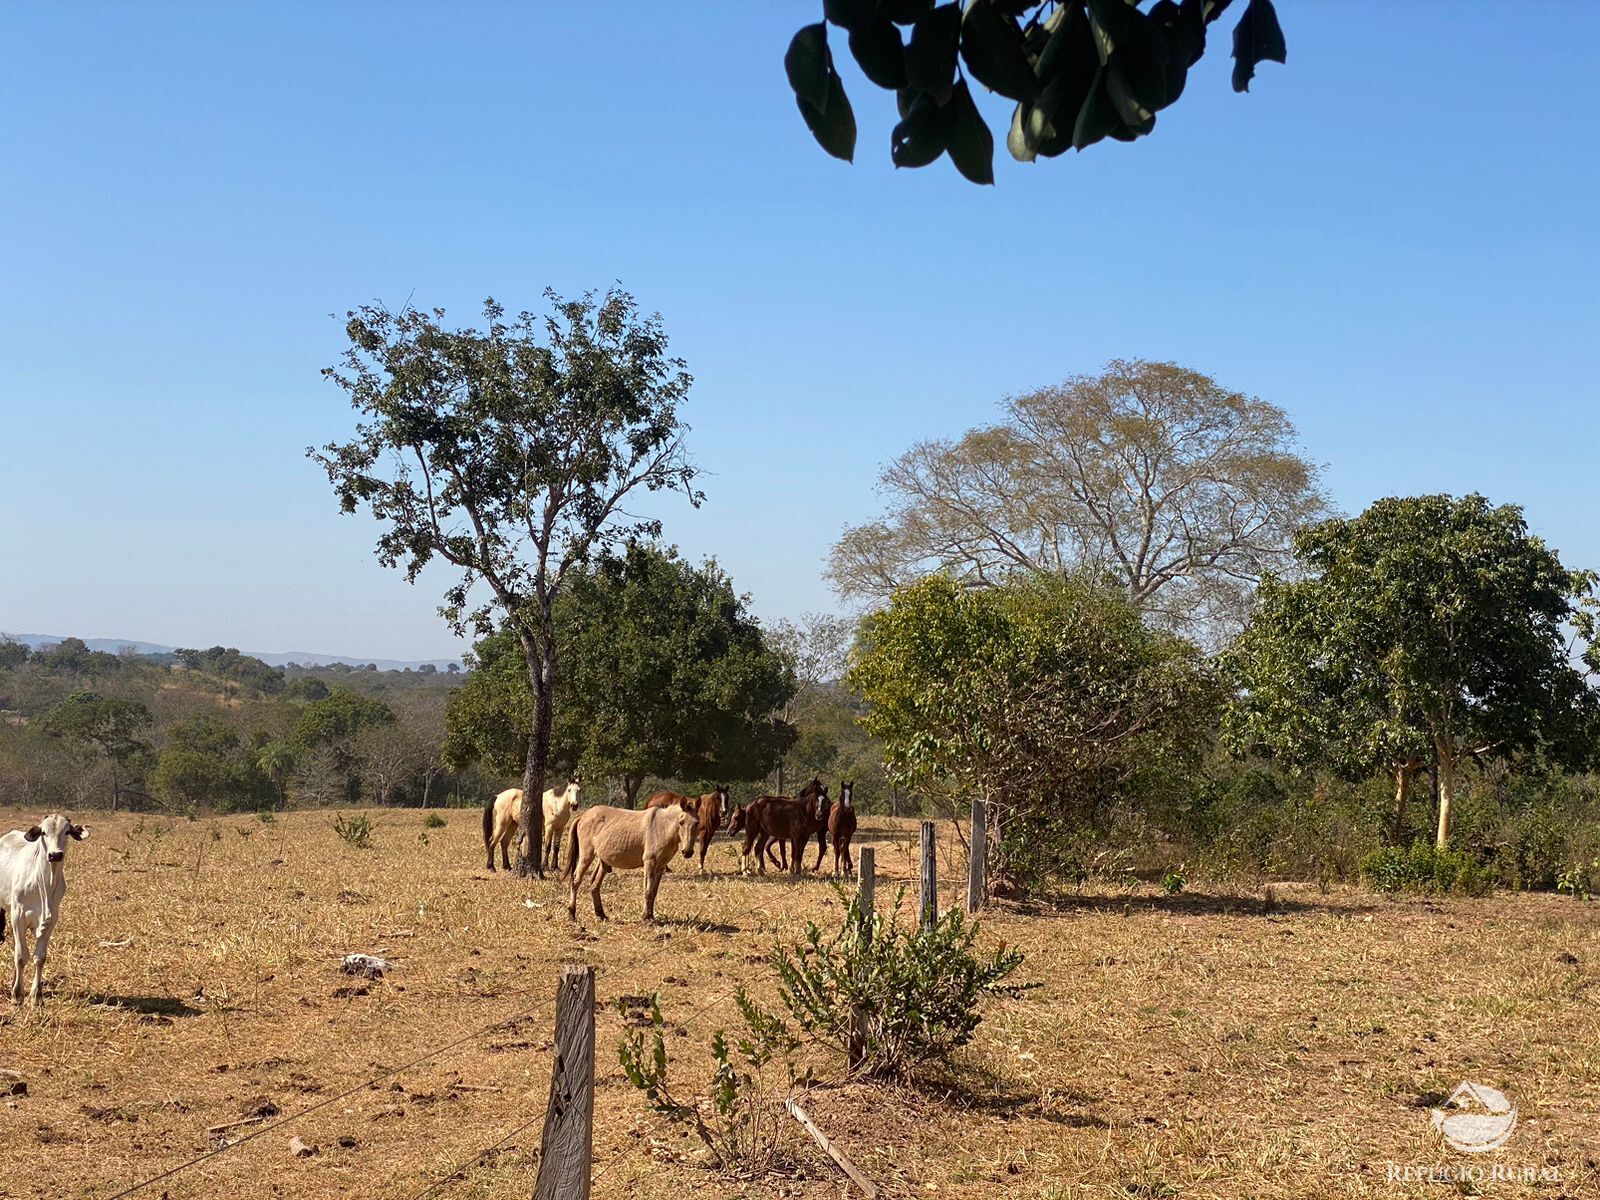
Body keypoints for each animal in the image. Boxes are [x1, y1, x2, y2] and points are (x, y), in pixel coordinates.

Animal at [0, 819, 88, 1004]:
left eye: (67, 832)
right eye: (43, 832)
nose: (55, 855)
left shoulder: (52, 919)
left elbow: (39, 958)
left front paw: (36, 994)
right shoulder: (18, 916)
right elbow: (21, 956)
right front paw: (17, 994)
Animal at [566, 803, 697, 928]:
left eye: (697, 823)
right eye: (681, 822)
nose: (687, 852)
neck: (662, 827)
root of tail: (583, 816)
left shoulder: (661, 866)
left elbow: (654, 892)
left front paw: (651, 916)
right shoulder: (649, 863)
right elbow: (648, 891)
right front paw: (646, 918)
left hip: (603, 862)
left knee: (594, 886)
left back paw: (601, 914)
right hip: (586, 856)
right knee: (576, 881)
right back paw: (572, 914)